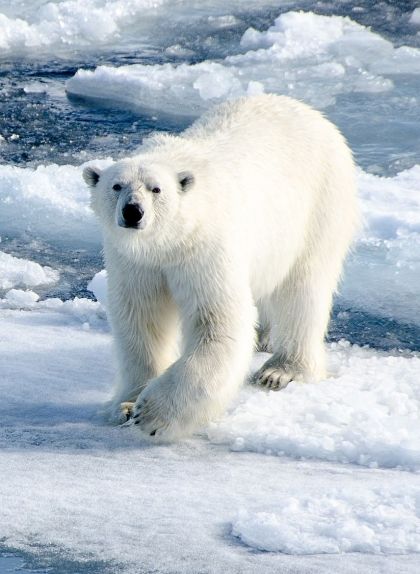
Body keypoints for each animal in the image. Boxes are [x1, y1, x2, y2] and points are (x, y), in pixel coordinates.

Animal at [83, 94, 360, 438]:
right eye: (116, 186)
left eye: (155, 189)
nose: (133, 212)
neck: (170, 240)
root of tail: (312, 113)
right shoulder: (136, 262)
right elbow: (141, 320)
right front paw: (125, 405)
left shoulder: (203, 250)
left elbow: (217, 323)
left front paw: (152, 413)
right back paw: (266, 337)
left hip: (320, 204)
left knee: (303, 288)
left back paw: (281, 370)